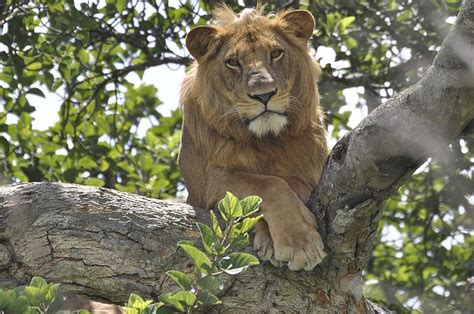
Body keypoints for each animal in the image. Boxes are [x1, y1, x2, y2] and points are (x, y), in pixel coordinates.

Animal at [180, 6, 328, 272]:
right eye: (233, 62)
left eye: (276, 53)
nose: (264, 94)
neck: (266, 140)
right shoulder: (209, 182)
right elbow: (270, 184)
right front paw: (299, 243)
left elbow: (289, 181)